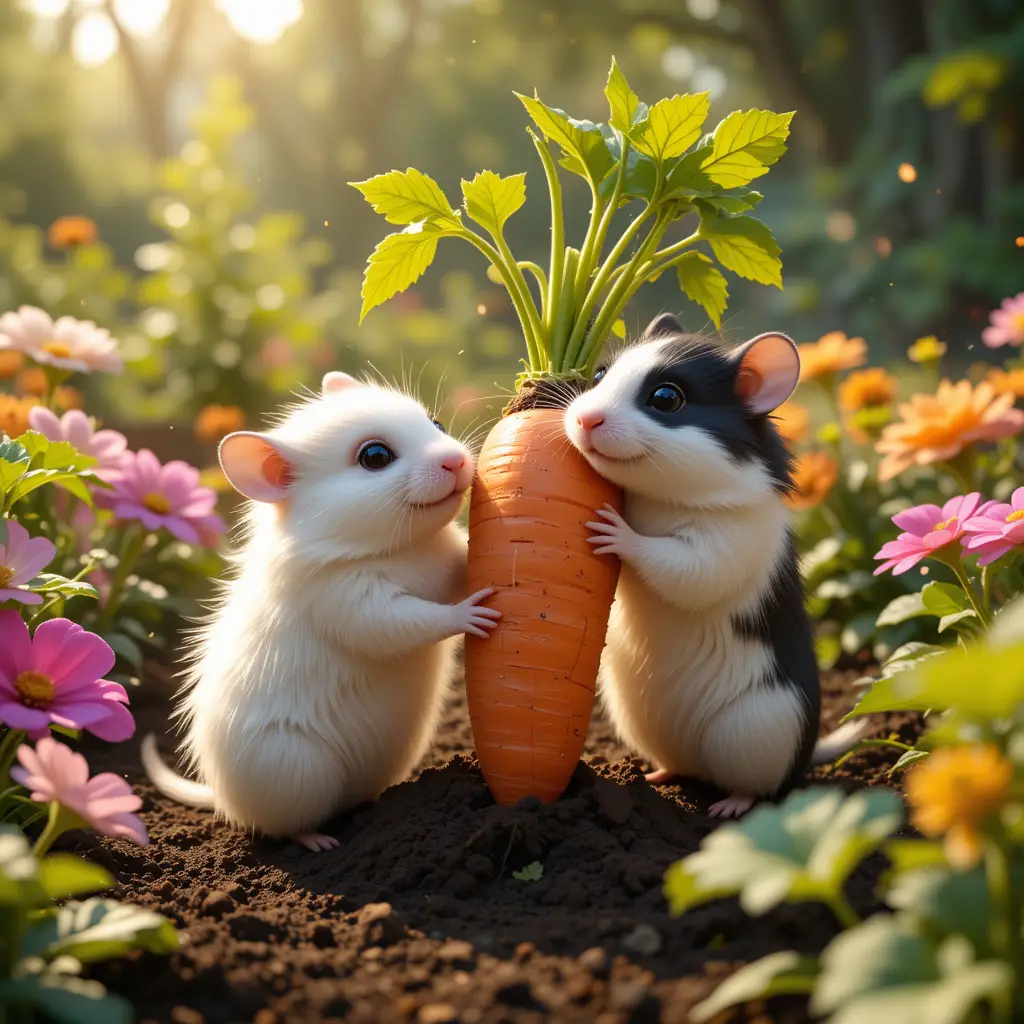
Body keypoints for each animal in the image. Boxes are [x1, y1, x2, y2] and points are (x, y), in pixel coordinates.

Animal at [140, 371, 500, 850]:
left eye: (437, 424)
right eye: (375, 457)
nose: (457, 462)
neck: (402, 548)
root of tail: (223, 799)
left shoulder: (443, 561)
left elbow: (459, 564)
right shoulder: (344, 599)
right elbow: (399, 624)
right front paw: (469, 616)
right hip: (300, 772)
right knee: (285, 826)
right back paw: (316, 839)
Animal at [563, 314, 865, 818]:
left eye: (666, 398)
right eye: (601, 374)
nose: (586, 420)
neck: (659, 501)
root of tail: (805, 758)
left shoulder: (721, 549)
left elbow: (679, 567)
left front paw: (616, 532)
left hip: (751, 732)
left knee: (755, 787)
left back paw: (731, 806)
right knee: (677, 765)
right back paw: (656, 775)